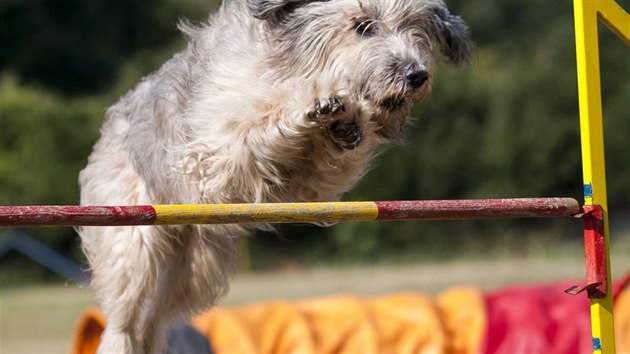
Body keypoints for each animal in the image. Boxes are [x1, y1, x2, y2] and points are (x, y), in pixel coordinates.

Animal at [79, 0, 472, 352]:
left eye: (417, 28)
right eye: (363, 26)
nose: (416, 75)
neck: (293, 63)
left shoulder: (311, 185)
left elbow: (332, 157)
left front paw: (349, 122)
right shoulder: (215, 149)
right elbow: (259, 120)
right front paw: (315, 100)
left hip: (196, 263)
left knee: (154, 320)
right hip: (134, 240)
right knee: (126, 318)